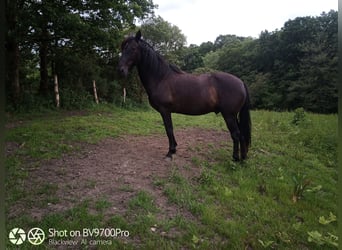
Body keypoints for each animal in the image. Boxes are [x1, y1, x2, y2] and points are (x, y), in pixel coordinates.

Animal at [118, 30, 251, 161]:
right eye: (123, 48)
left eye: (133, 48)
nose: (120, 70)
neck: (161, 77)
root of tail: (241, 82)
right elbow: (170, 130)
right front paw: (174, 149)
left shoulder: (165, 110)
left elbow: (169, 129)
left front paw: (170, 153)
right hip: (233, 115)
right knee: (241, 134)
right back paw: (243, 158)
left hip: (229, 115)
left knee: (236, 134)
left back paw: (235, 158)